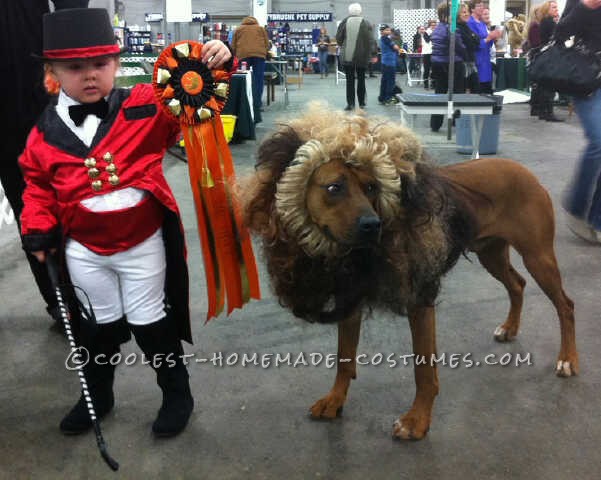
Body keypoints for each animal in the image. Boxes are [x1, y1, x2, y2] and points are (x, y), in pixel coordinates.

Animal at [243, 107, 576, 440]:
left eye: (372, 187)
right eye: (334, 188)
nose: (372, 225)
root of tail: (523, 170)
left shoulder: (420, 302)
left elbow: (423, 369)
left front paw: (417, 420)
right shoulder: (351, 298)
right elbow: (344, 358)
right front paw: (335, 400)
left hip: (538, 257)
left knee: (565, 304)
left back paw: (568, 359)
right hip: (491, 253)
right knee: (517, 284)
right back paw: (509, 328)